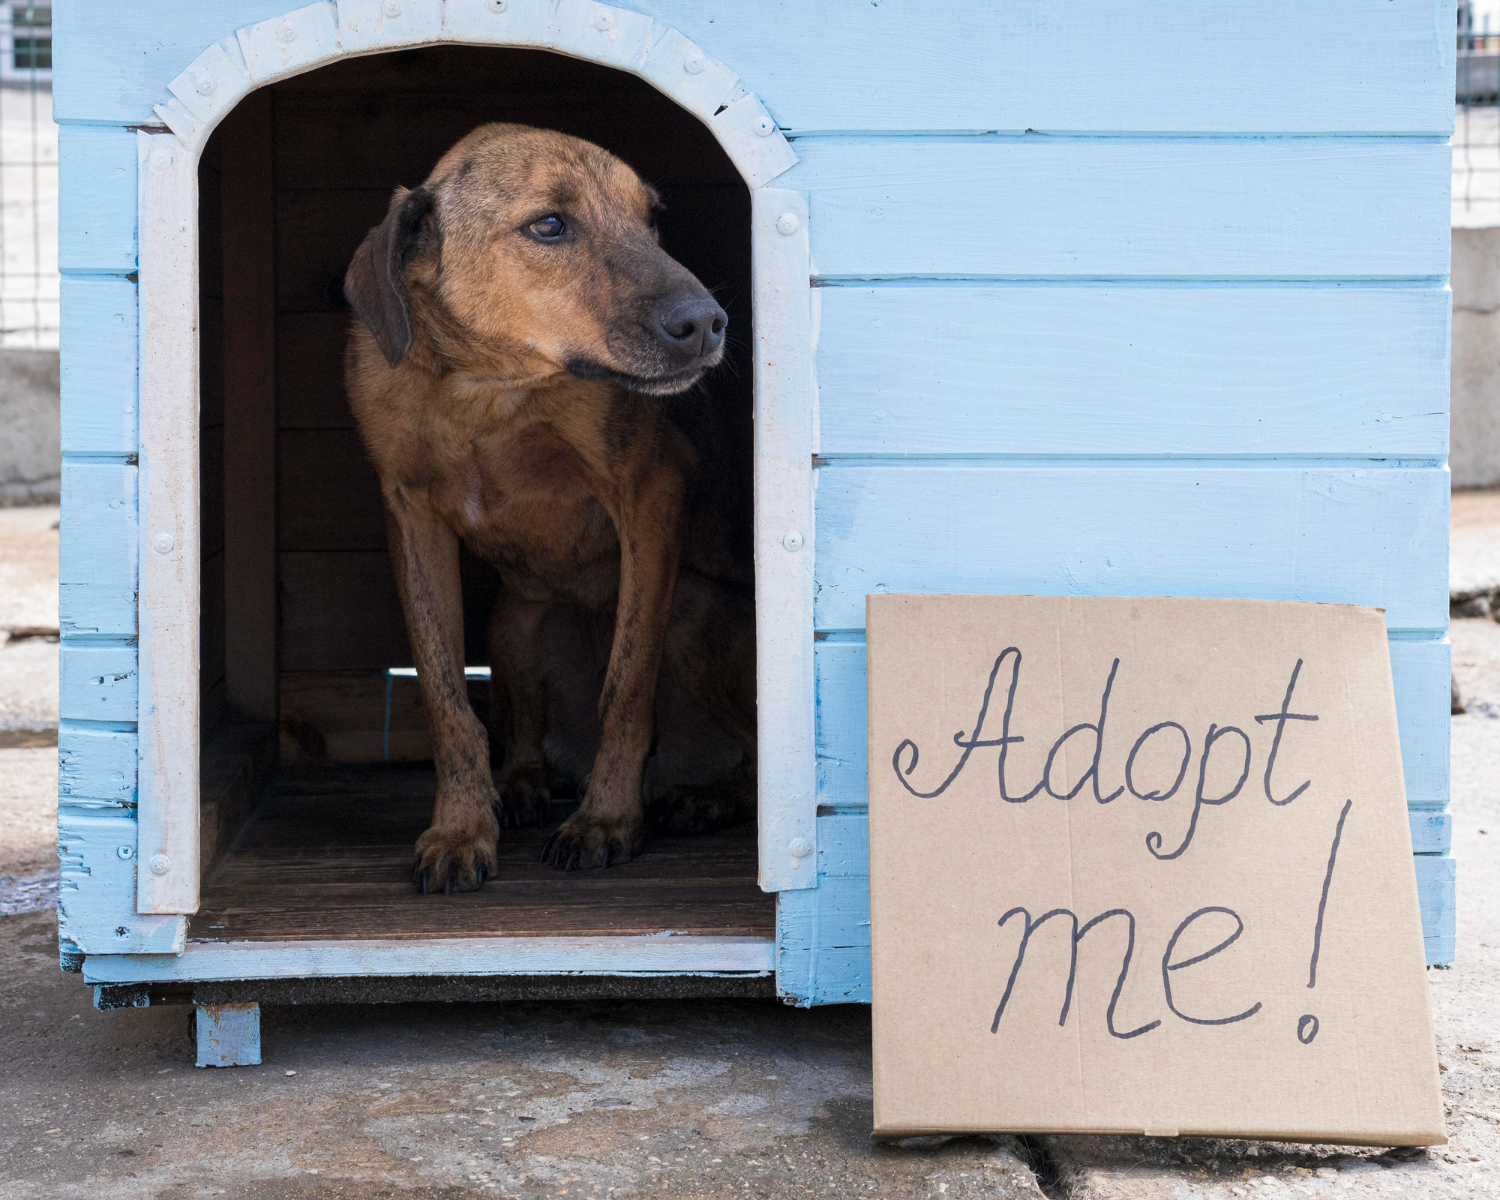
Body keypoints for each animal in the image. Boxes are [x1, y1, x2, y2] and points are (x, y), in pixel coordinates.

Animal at [345, 124, 756, 888]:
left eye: (651, 219)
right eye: (549, 225)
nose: (710, 323)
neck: (486, 387)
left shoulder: (651, 491)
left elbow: (626, 685)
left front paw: (607, 820)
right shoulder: (411, 520)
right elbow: (447, 700)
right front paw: (462, 827)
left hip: (691, 614)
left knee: (749, 749)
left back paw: (702, 798)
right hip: (513, 623)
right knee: (522, 734)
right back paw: (522, 785)